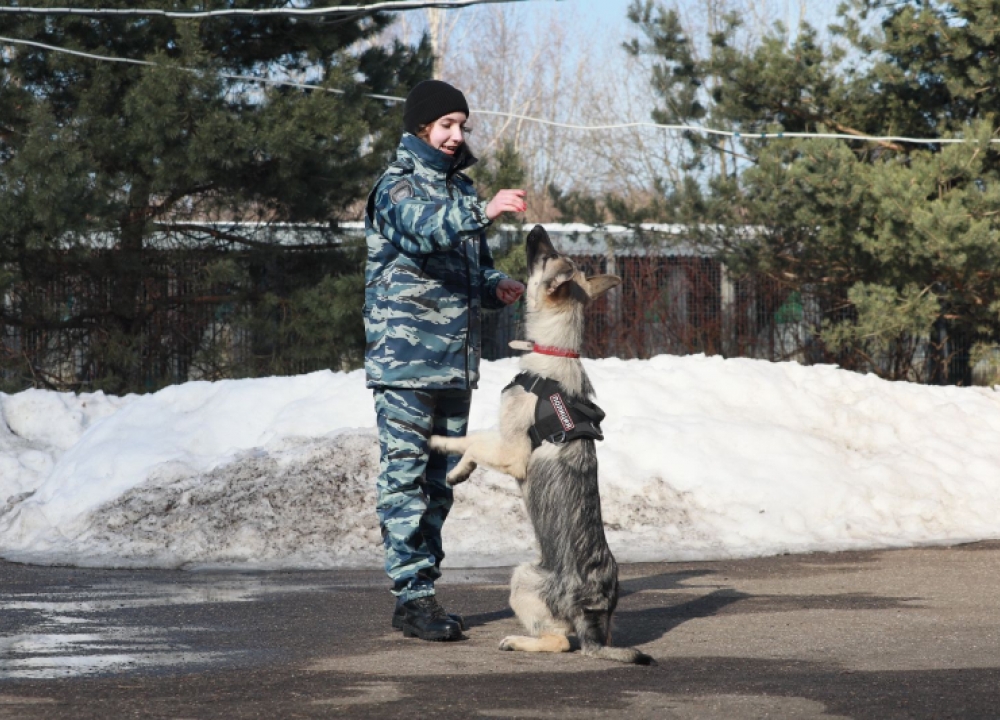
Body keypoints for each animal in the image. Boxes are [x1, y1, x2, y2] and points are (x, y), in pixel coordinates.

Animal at [430, 226, 656, 668]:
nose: (535, 228)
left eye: (546, 256)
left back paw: (519, 641)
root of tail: (590, 615)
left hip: (521, 576)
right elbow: (475, 442)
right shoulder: (503, 443)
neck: (555, 351)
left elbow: (473, 439)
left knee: (560, 642)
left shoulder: (513, 454)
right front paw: (459, 468)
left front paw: (442, 446)